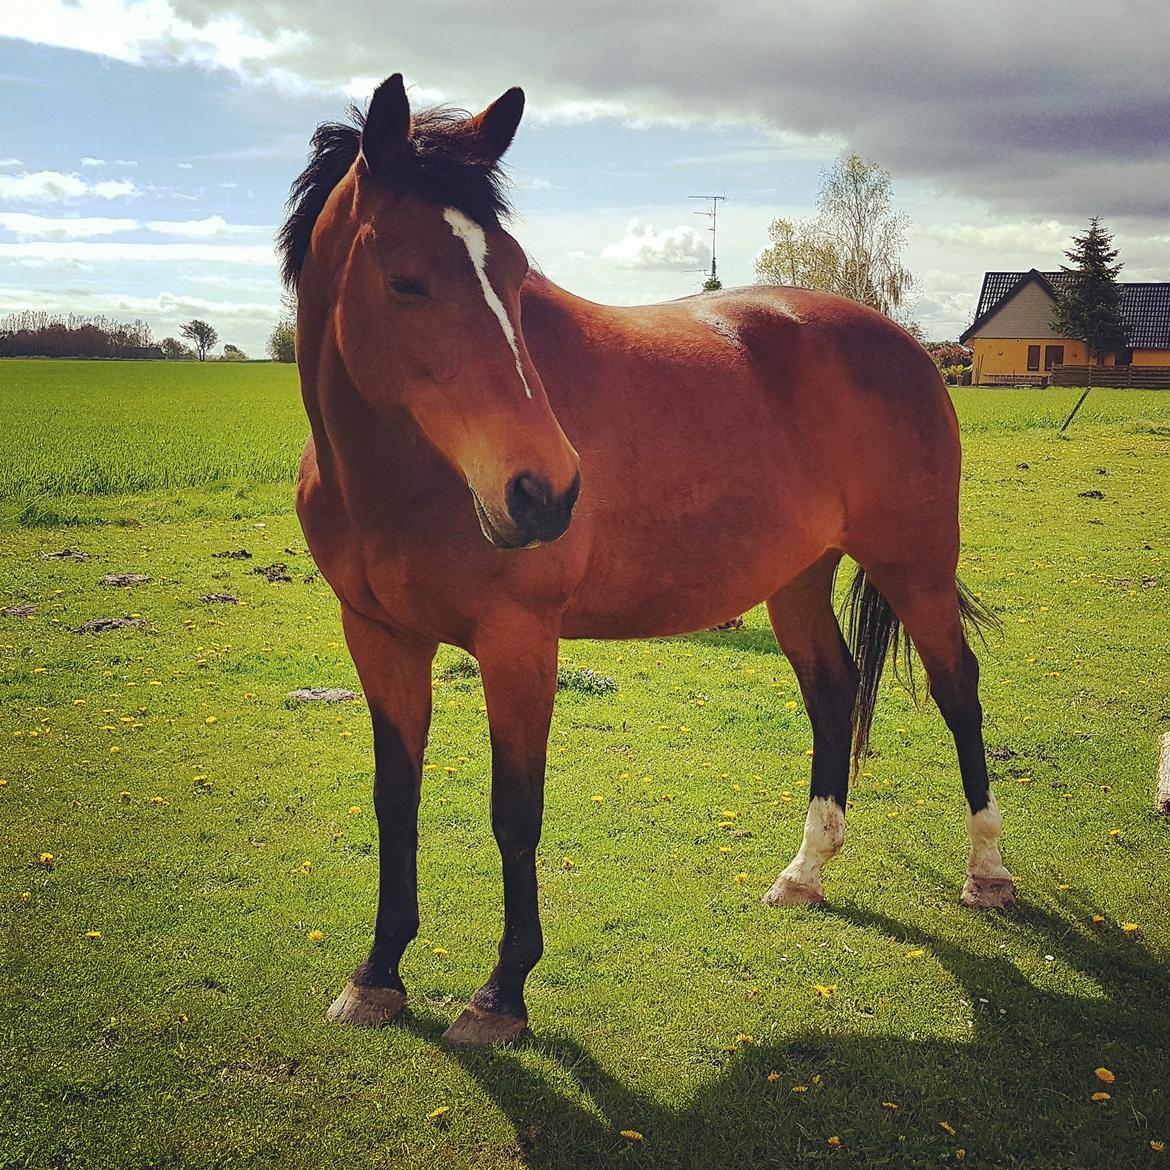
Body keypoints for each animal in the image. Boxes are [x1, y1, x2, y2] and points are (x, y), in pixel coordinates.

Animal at [280, 75, 1015, 1043]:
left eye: (514, 274)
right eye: (406, 280)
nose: (546, 492)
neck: (400, 477)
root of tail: (909, 347)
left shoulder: (520, 643)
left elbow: (516, 813)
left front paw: (501, 993)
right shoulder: (377, 637)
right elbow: (394, 803)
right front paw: (377, 975)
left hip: (916, 565)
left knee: (957, 689)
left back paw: (987, 873)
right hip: (797, 580)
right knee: (832, 690)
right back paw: (805, 873)